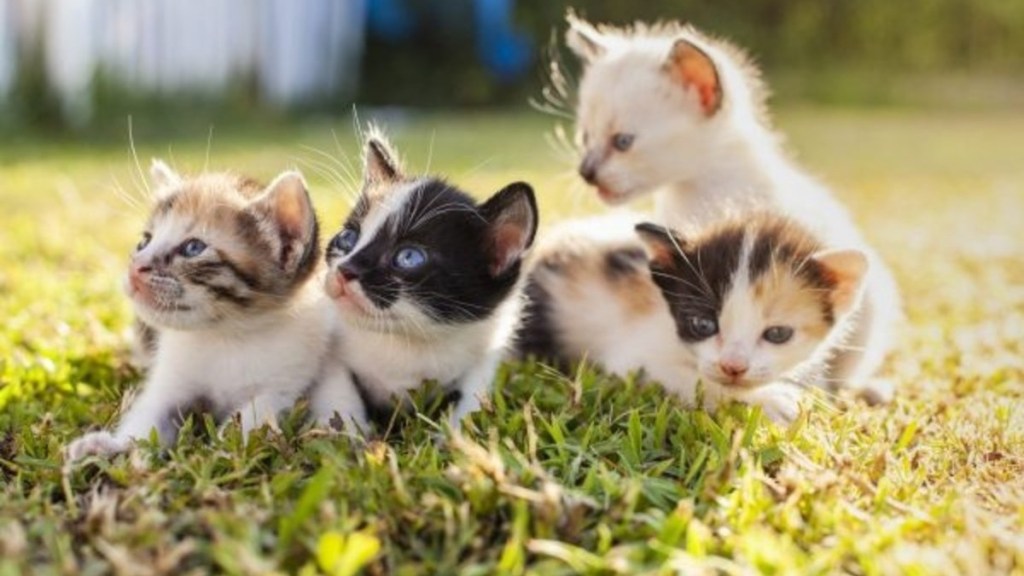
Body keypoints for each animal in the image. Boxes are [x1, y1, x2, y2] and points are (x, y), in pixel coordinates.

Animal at [67, 161, 356, 457]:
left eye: (193, 248)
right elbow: (149, 418)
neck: (223, 336)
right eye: (144, 241)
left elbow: (252, 421)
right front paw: (112, 446)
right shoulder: (170, 382)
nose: (135, 267)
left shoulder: (284, 385)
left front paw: (222, 451)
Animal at [520, 213, 864, 420]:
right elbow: (694, 381)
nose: (733, 366)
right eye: (702, 324)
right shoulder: (632, 359)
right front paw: (771, 400)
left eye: (778, 334)